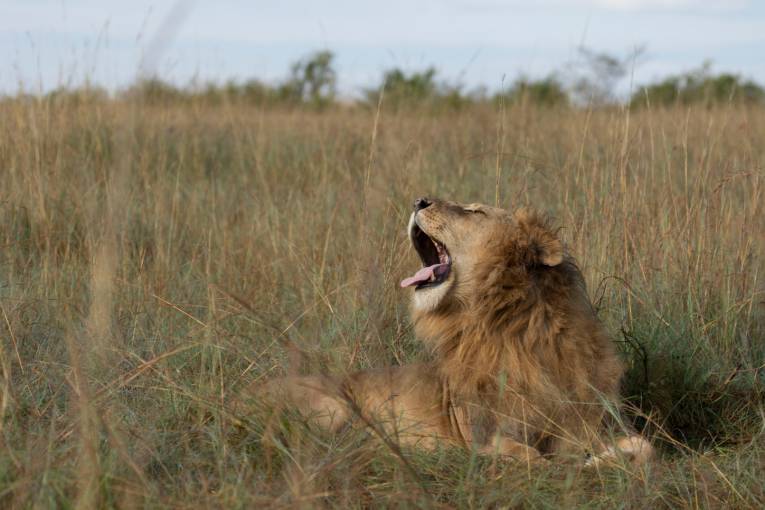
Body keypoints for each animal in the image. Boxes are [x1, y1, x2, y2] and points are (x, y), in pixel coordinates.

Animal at [256, 196, 652, 466]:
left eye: (476, 212)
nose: (419, 200)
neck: (520, 328)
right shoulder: (484, 436)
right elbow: (533, 460)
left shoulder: (597, 421)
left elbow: (645, 449)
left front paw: (602, 460)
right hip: (335, 408)